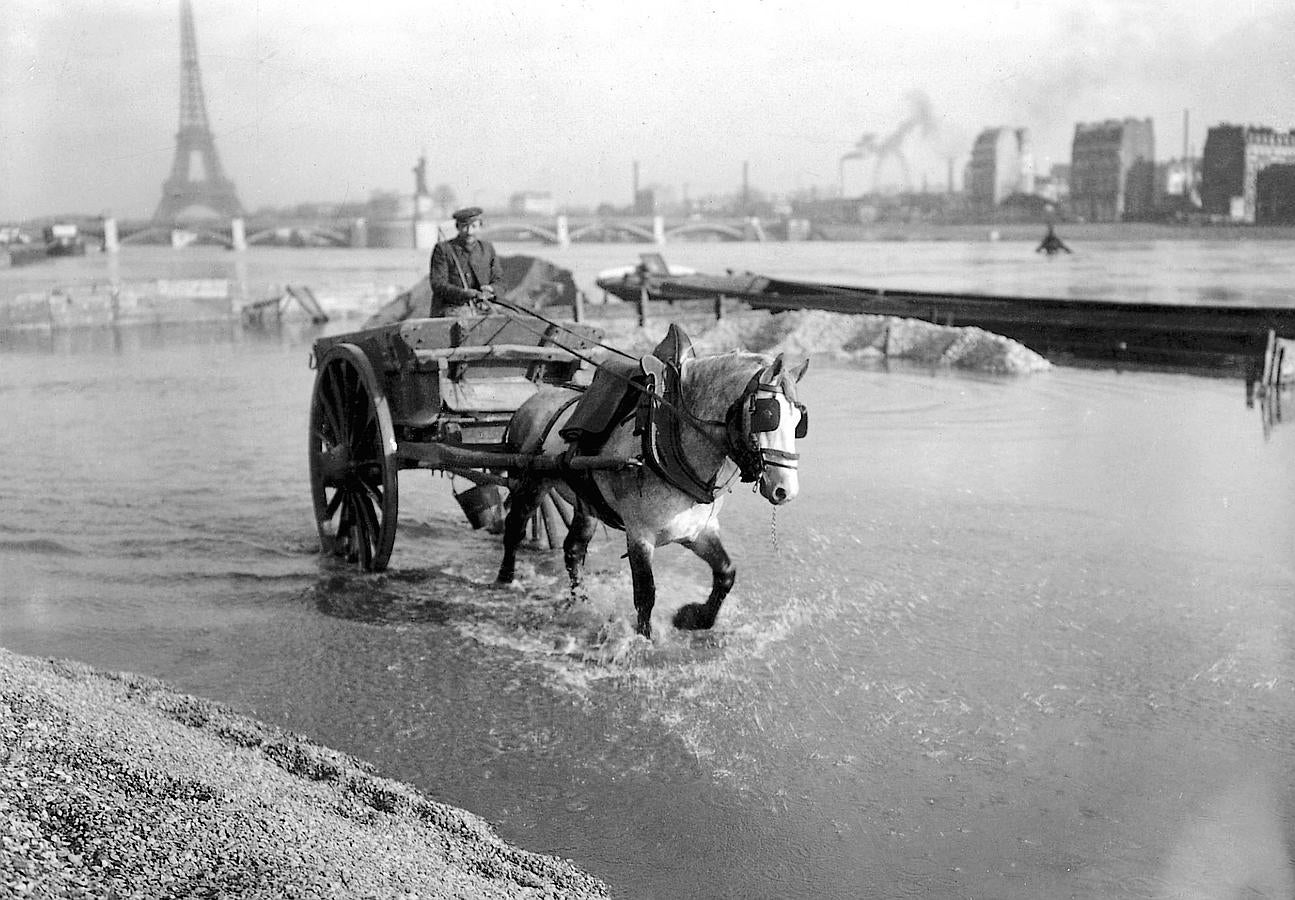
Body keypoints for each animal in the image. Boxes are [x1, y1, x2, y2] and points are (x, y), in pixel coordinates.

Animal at [489, 331, 802, 639]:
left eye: (800, 421)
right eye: (769, 415)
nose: (786, 490)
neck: (672, 440)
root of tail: (532, 400)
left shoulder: (697, 531)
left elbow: (726, 573)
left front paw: (693, 617)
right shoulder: (640, 535)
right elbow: (645, 594)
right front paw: (644, 639)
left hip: (585, 502)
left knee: (573, 549)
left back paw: (580, 600)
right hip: (531, 484)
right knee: (514, 528)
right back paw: (505, 579)